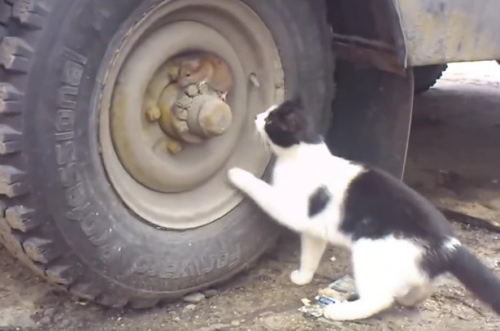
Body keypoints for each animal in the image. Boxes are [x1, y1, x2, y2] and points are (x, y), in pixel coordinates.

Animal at [228, 95, 500, 322]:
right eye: (267, 112)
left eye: (270, 120)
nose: (256, 116)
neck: (302, 155)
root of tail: (449, 244)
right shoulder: (314, 230)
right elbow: (310, 255)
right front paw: (303, 276)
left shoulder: (292, 209)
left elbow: (261, 189)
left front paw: (235, 173)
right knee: (422, 286)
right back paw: (409, 299)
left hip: (369, 252)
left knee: (380, 299)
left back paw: (339, 311)